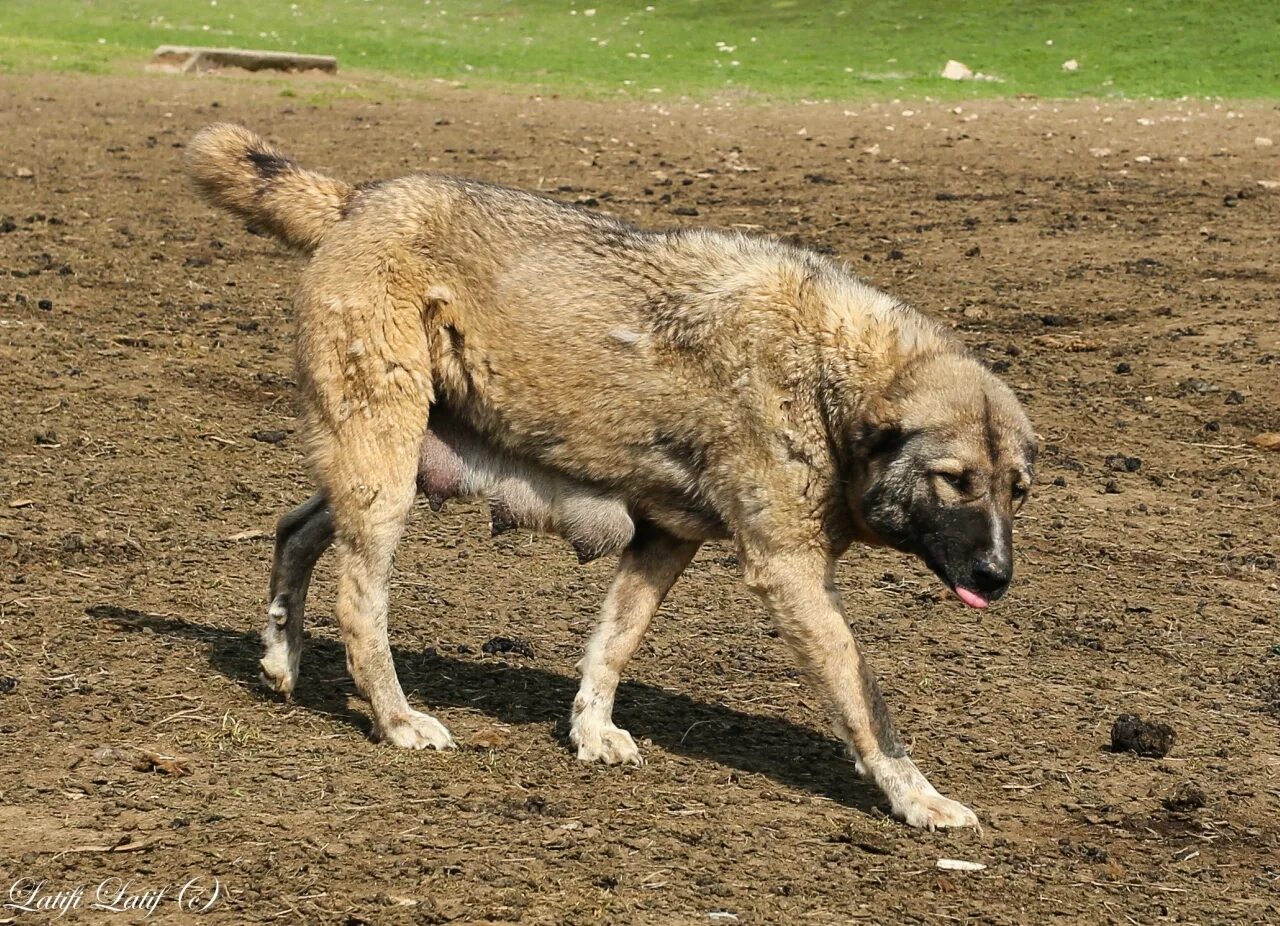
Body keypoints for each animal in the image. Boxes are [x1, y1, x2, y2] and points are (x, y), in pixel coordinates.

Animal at [185, 124, 1034, 835]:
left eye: (1018, 489)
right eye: (955, 479)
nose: (997, 576)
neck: (833, 377)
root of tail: (359, 199)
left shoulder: (664, 540)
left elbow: (613, 643)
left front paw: (591, 730)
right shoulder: (790, 572)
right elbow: (866, 700)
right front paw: (918, 798)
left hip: (384, 462)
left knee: (294, 529)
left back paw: (281, 656)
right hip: (383, 470)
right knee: (360, 607)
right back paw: (396, 719)